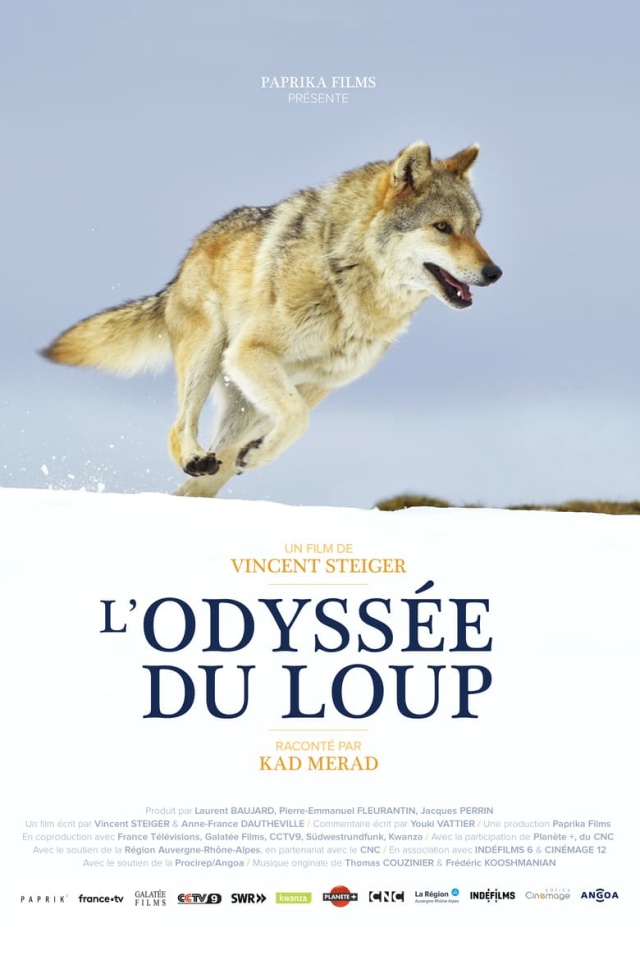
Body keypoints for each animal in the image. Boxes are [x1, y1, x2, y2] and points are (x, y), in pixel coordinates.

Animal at [42, 141, 502, 497]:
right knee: (179, 430)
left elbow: (296, 423)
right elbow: (298, 419)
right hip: (212, 354)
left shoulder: (317, 384)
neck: (347, 279)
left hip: (245, 401)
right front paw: (259, 452)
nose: (494, 273)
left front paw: (258, 453)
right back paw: (194, 457)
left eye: (476, 228)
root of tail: (186, 259)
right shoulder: (251, 353)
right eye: (442, 227)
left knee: (209, 474)